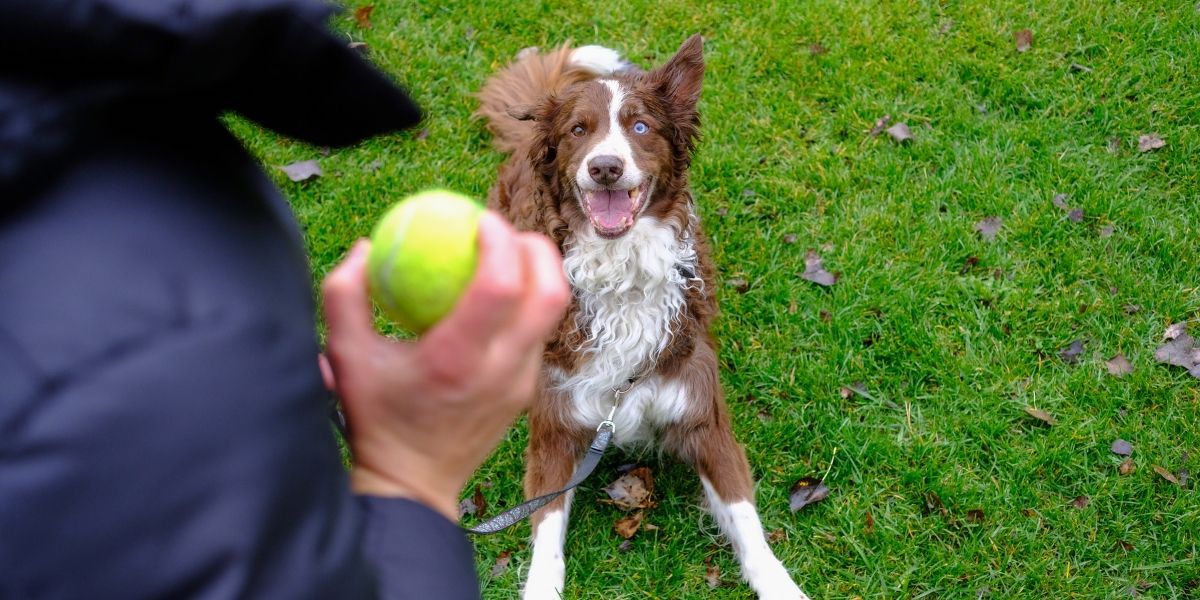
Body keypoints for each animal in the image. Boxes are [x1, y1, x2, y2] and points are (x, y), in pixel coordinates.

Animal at [475, 35, 806, 597]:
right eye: (578, 130)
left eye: (641, 126)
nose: (605, 167)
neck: (621, 275)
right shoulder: (555, 432)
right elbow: (545, 529)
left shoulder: (705, 420)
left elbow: (746, 521)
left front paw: (780, 585)